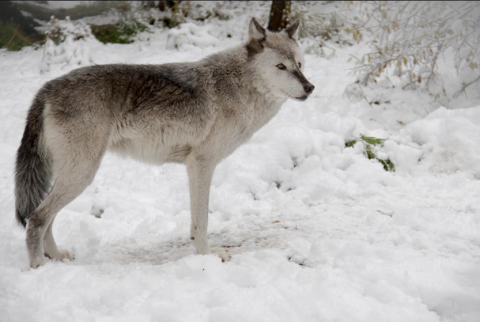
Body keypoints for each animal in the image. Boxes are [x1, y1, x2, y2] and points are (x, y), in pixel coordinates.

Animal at [14, 18, 316, 270]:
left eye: (300, 65)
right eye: (281, 67)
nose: (310, 88)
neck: (237, 86)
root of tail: (46, 89)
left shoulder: (195, 167)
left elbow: (195, 221)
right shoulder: (201, 163)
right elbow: (203, 220)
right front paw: (207, 255)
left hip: (71, 174)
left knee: (47, 217)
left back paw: (56, 256)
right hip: (82, 174)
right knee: (37, 218)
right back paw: (39, 267)